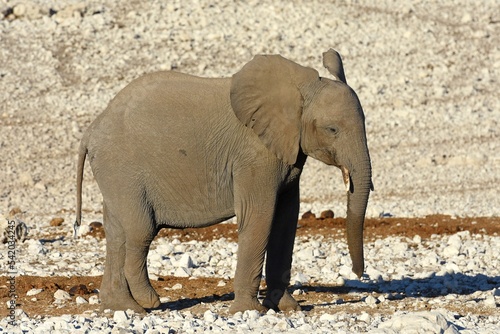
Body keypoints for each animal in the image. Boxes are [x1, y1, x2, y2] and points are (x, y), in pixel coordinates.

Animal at [74, 48, 372, 314]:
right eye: (332, 129)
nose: (360, 274)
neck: (297, 91)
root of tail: (91, 129)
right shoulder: (254, 157)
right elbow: (259, 217)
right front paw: (249, 311)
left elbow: (286, 220)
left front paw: (288, 308)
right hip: (123, 171)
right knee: (140, 229)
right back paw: (149, 302)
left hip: (113, 173)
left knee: (116, 232)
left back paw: (123, 307)